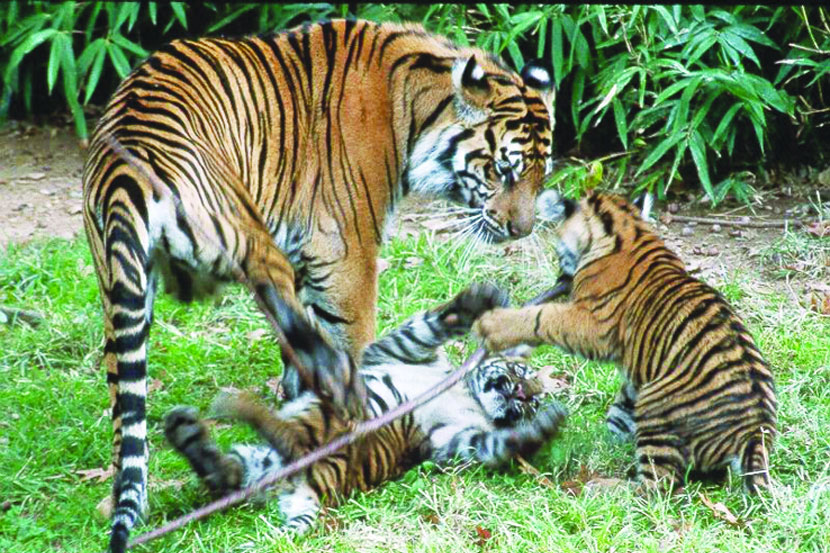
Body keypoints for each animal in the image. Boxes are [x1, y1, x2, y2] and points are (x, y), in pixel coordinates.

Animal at [162, 282, 564, 532]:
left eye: (534, 402)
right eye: (520, 373)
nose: (523, 395)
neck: (469, 396)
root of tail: (300, 486)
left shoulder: (450, 441)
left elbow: (491, 445)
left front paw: (541, 428)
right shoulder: (398, 352)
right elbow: (425, 327)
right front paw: (477, 301)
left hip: (307, 435)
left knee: (253, 455)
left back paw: (207, 420)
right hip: (290, 441)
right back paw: (199, 423)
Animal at [474, 190, 780, 492]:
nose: (559, 276)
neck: (627, 229)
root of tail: (754, 430)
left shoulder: (592, 325)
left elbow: (544, 316)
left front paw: (493, 324)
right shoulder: (639, 372)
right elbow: (620, 409)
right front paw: (603, 441)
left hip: (657, 410)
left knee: (656, 487)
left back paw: (605, 486)